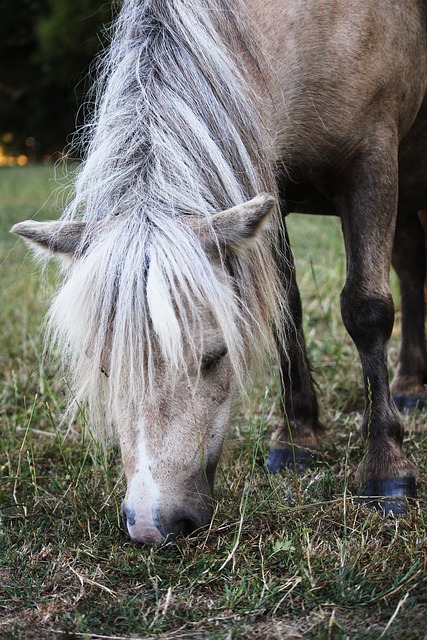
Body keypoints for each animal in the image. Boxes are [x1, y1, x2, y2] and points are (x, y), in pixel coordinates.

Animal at [13, 0, 427, 544]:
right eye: (105, 367)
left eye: (214, 357)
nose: (151, 526)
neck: (312, 23)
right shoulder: (269, 186)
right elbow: (286, 309)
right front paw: (298, 438)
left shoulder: (373, 161)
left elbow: (366, 309)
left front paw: (386, 471)